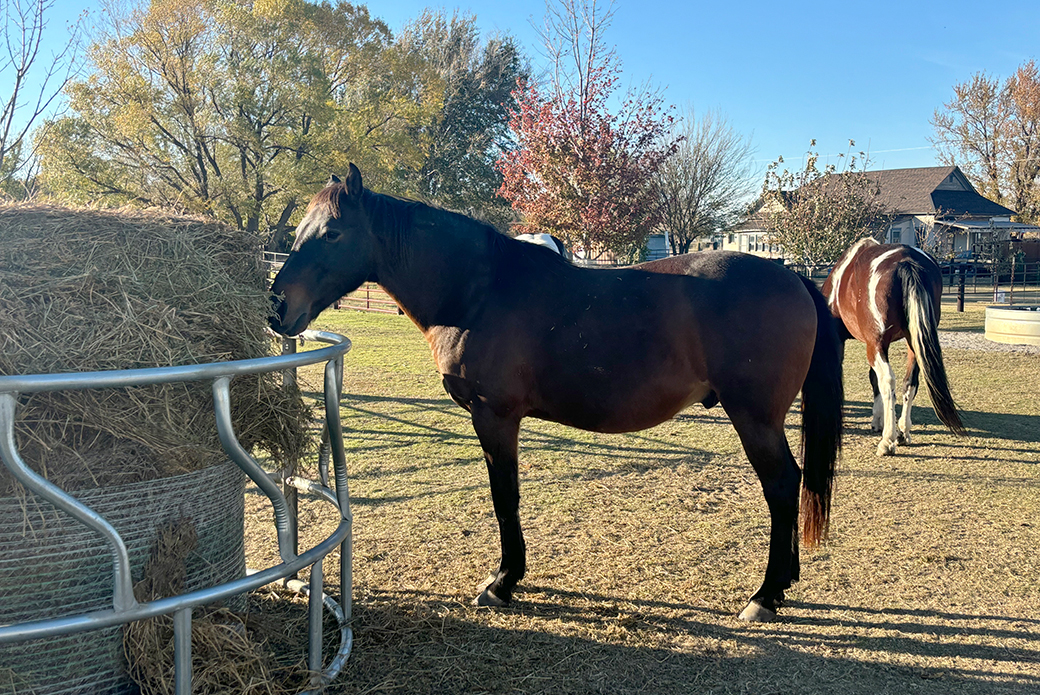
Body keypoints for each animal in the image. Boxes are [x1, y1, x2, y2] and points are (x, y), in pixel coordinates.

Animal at [270, 165, 844, 620]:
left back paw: (765, 596)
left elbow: (505, 497)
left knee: (782, 486)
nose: (277, 309)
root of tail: (792, 277)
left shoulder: (495, 417)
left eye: (332, 233)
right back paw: (783, 585)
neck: (478, 292)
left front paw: (503, 583)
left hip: (755, 418)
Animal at [823, 239, 960, 455]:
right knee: (910, 383)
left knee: (888, 380)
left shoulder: (859, 342)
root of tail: (907, 261)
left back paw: (887, 441)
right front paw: (878, 420)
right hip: (913, 342)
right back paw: (903, 433)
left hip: (878, 344)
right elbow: (874, 379)